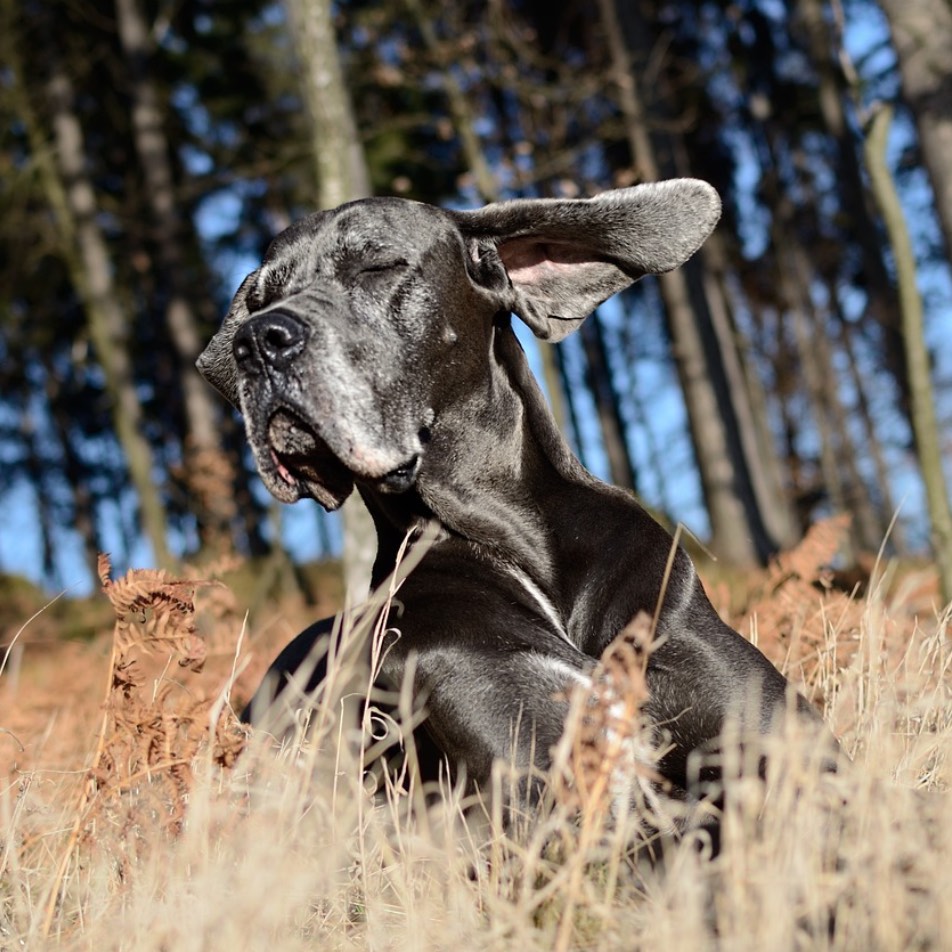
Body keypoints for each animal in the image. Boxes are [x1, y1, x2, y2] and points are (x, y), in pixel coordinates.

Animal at [195, 182, 832, 820]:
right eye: (259, 300)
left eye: (377, 266)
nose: (257, 341)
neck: (514, 544)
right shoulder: (548, 790)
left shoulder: (789, 750)